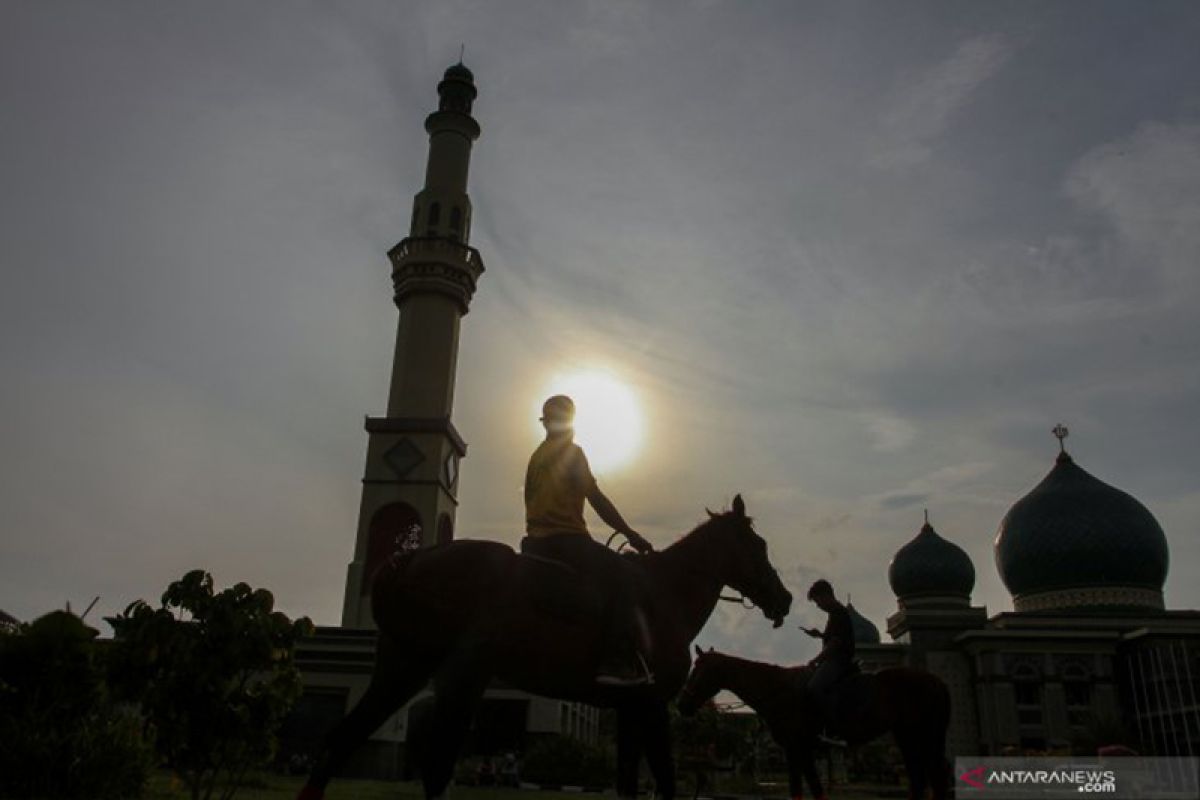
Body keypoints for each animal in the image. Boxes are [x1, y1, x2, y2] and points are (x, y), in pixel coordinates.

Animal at [297, 494, 796, 800]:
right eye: (758, 544)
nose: (785, 599)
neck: (663, 597)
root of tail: (408, 560)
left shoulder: (631, 708)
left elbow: (628, 783)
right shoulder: (652, 705)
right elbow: (667, 783)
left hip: (403, 668)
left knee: (343, 740)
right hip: (462, 677)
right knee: (436, 767)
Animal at [676, 652, 945, 800]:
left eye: (697, 671)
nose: (682, 705)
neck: (779, 690)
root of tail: (935, 680)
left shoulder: (798, 748)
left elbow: (810, 789)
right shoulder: (796, 751)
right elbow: (805, 790)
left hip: (919, 735)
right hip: (907, 736)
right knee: (920, 780)